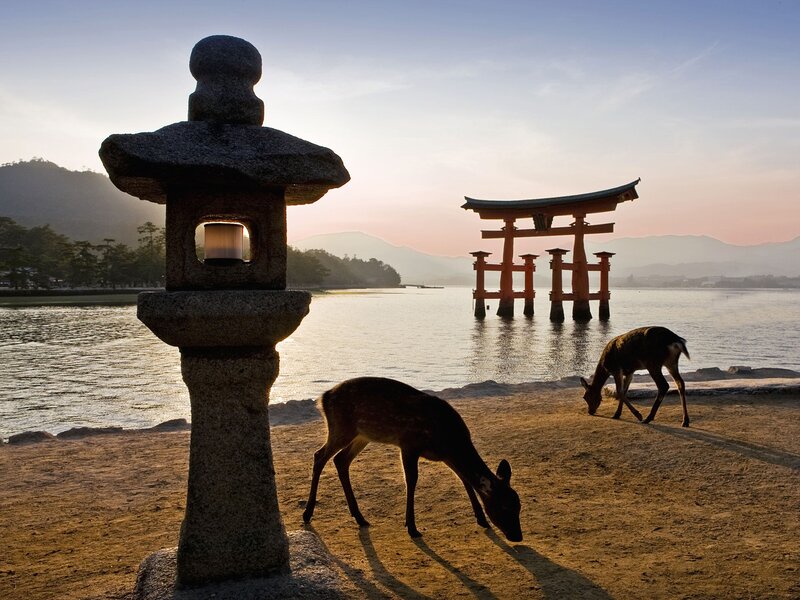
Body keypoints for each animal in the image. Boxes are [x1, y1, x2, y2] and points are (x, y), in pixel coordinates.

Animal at [302, 376, 523, 542]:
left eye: (519, 506)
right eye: (505, 507)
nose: (518, 536)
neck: (450, 439)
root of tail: (323, 398)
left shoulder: (446, 456)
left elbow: (464, 480)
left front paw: (482, 520)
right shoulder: (409, 444)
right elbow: (412, 480)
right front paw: (412, 527)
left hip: (362, 435)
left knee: (340, 460)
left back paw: (360, 517)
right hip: (341, 428)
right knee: (319, 456)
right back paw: (307, 513)